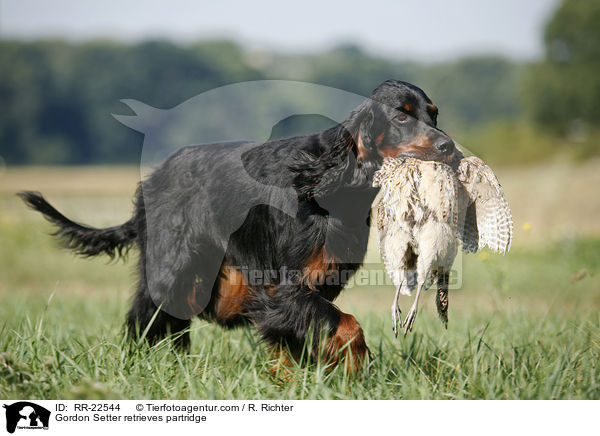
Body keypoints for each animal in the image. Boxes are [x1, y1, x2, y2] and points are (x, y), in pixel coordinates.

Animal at [19, 80, 460, 372]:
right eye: (401, 116)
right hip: (175, 271)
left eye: (435, 114)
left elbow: (295, 337)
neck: (329, 180)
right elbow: (347, 326)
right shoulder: (283, 285)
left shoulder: (314, 282)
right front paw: (358, 367)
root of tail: (153, 179)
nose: (449, 148)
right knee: (148, 316)